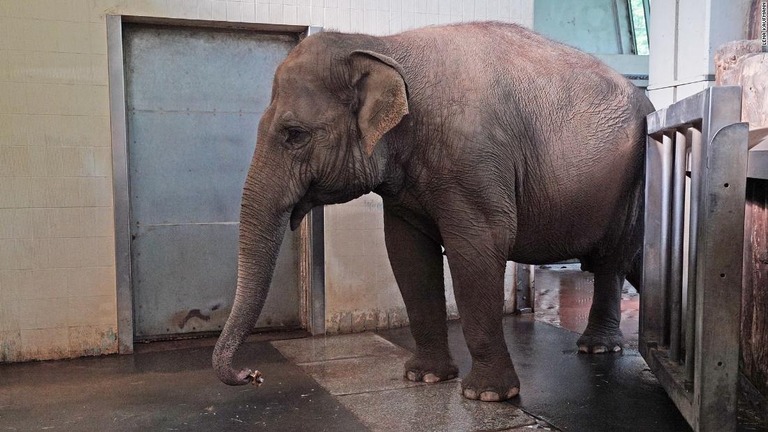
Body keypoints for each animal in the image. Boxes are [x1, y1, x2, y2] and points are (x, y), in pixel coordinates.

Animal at [214, 21, 656, 402]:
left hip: (633, 185)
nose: (252, 375)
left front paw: (487, 395)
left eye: (294, 135)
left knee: (612, 261)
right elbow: (406, 253)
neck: (384, 46)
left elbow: (476, 250)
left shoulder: (476, 164)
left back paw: (597, 349)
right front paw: (423, 377)